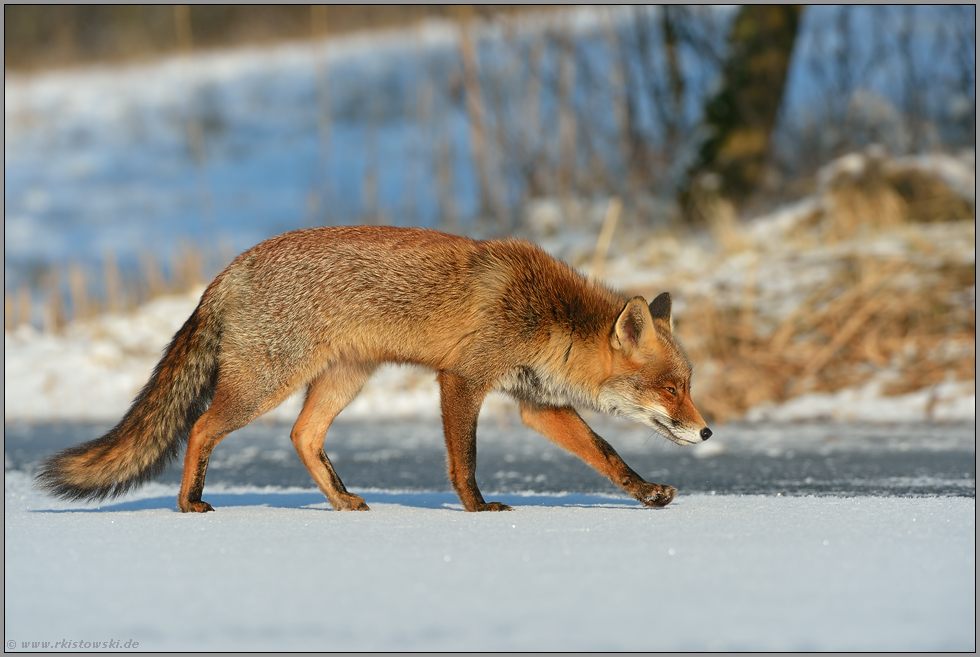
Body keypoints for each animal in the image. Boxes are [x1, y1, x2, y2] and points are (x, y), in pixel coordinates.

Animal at [36, 226, 712, 512]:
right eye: (670, 388)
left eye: (688, 386)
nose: (706, 431)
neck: (545, 318)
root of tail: (227, 271)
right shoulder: (462, 380)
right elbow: (464, 462)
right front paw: (477, 509)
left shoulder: (536, 404)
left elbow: (608, 457)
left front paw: (647, 493)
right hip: (265, 384)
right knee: (201, 428)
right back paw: (190, 502)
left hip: (342, 380)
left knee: (302, 436)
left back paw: (341, 500)